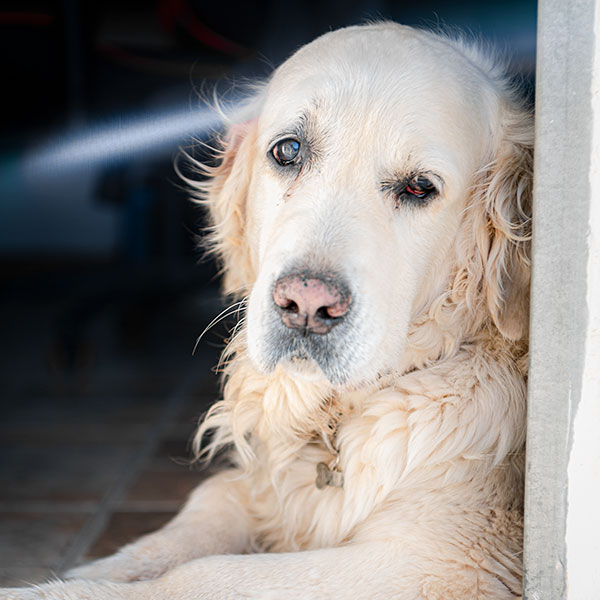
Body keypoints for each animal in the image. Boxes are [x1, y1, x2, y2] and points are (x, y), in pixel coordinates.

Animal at [2, 21, 532, 596]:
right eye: (289, 150)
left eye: (419, 187)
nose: (305, 304)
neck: (336, 415)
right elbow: (204, 505)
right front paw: (97, 569)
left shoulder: (436, 560)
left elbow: (200, 574)